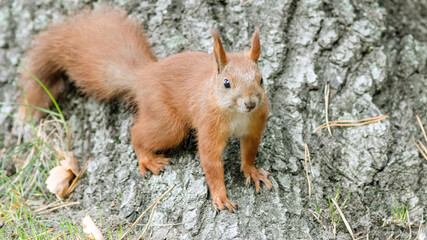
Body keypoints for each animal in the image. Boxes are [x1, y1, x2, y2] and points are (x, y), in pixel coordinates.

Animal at [18, 6, 272, 212]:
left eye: (261, 79)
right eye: (226, 83)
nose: (250, 103)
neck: (237, 114)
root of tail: (143, 76)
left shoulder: (255, 125)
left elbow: (249, 150)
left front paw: (252, 170)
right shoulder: (208, 123)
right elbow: (211, 161)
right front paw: (220, 196)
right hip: (168, 122)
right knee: (137, 133)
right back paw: (147, 158)